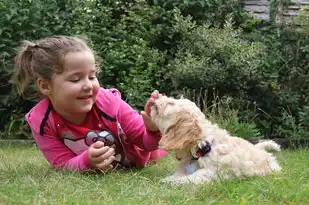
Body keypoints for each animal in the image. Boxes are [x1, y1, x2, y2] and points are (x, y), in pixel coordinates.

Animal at [150, 95, 280, 184]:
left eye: (171, 103)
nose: (155, 98)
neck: (202, 144)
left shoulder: (215, 172)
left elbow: (197, 175)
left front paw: (174, 181)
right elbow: (178, 173)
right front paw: (170, 178)